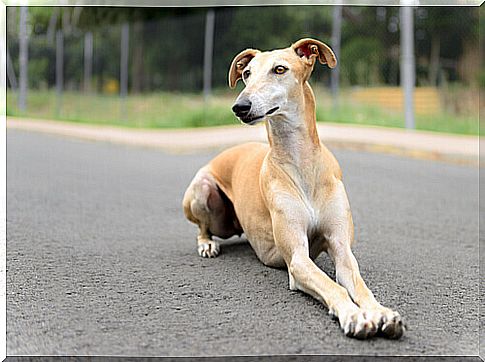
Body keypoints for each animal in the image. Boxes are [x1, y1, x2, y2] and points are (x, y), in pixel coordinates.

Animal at [181, 38, 400, 338]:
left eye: (280, 69)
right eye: (246, 73)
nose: (240, 106)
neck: (302, 164)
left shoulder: (342, 248)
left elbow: (357, 283)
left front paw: (381, 312)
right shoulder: (298, 259)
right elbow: (333, 286)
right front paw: (355, 315)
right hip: (202, 190)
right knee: (202, 228)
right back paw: (206, 244)